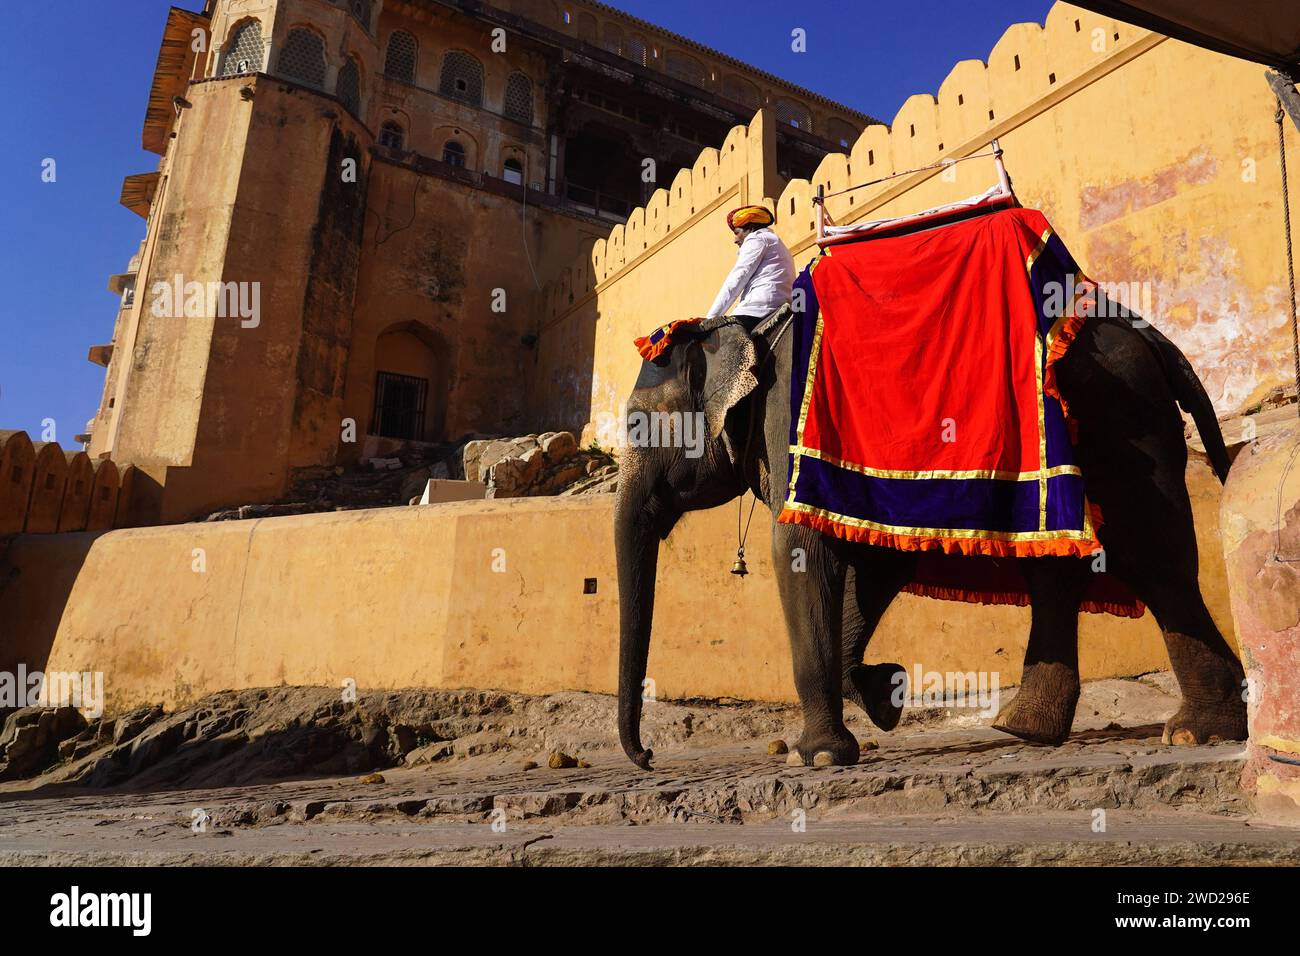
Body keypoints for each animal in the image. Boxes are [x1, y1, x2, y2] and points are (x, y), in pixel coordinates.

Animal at [613, 299, 1242, 770]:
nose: (647, 758)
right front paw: (883, 692)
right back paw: (1028, 730)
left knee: (1149, 551)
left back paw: (1196, 733)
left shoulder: (792, 419)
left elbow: (801, 549)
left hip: (1120, 412)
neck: (750, 328)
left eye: (640, 424)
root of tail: (1153, 337)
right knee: (1060, 567)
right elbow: (875, 558)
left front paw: (818, 757)